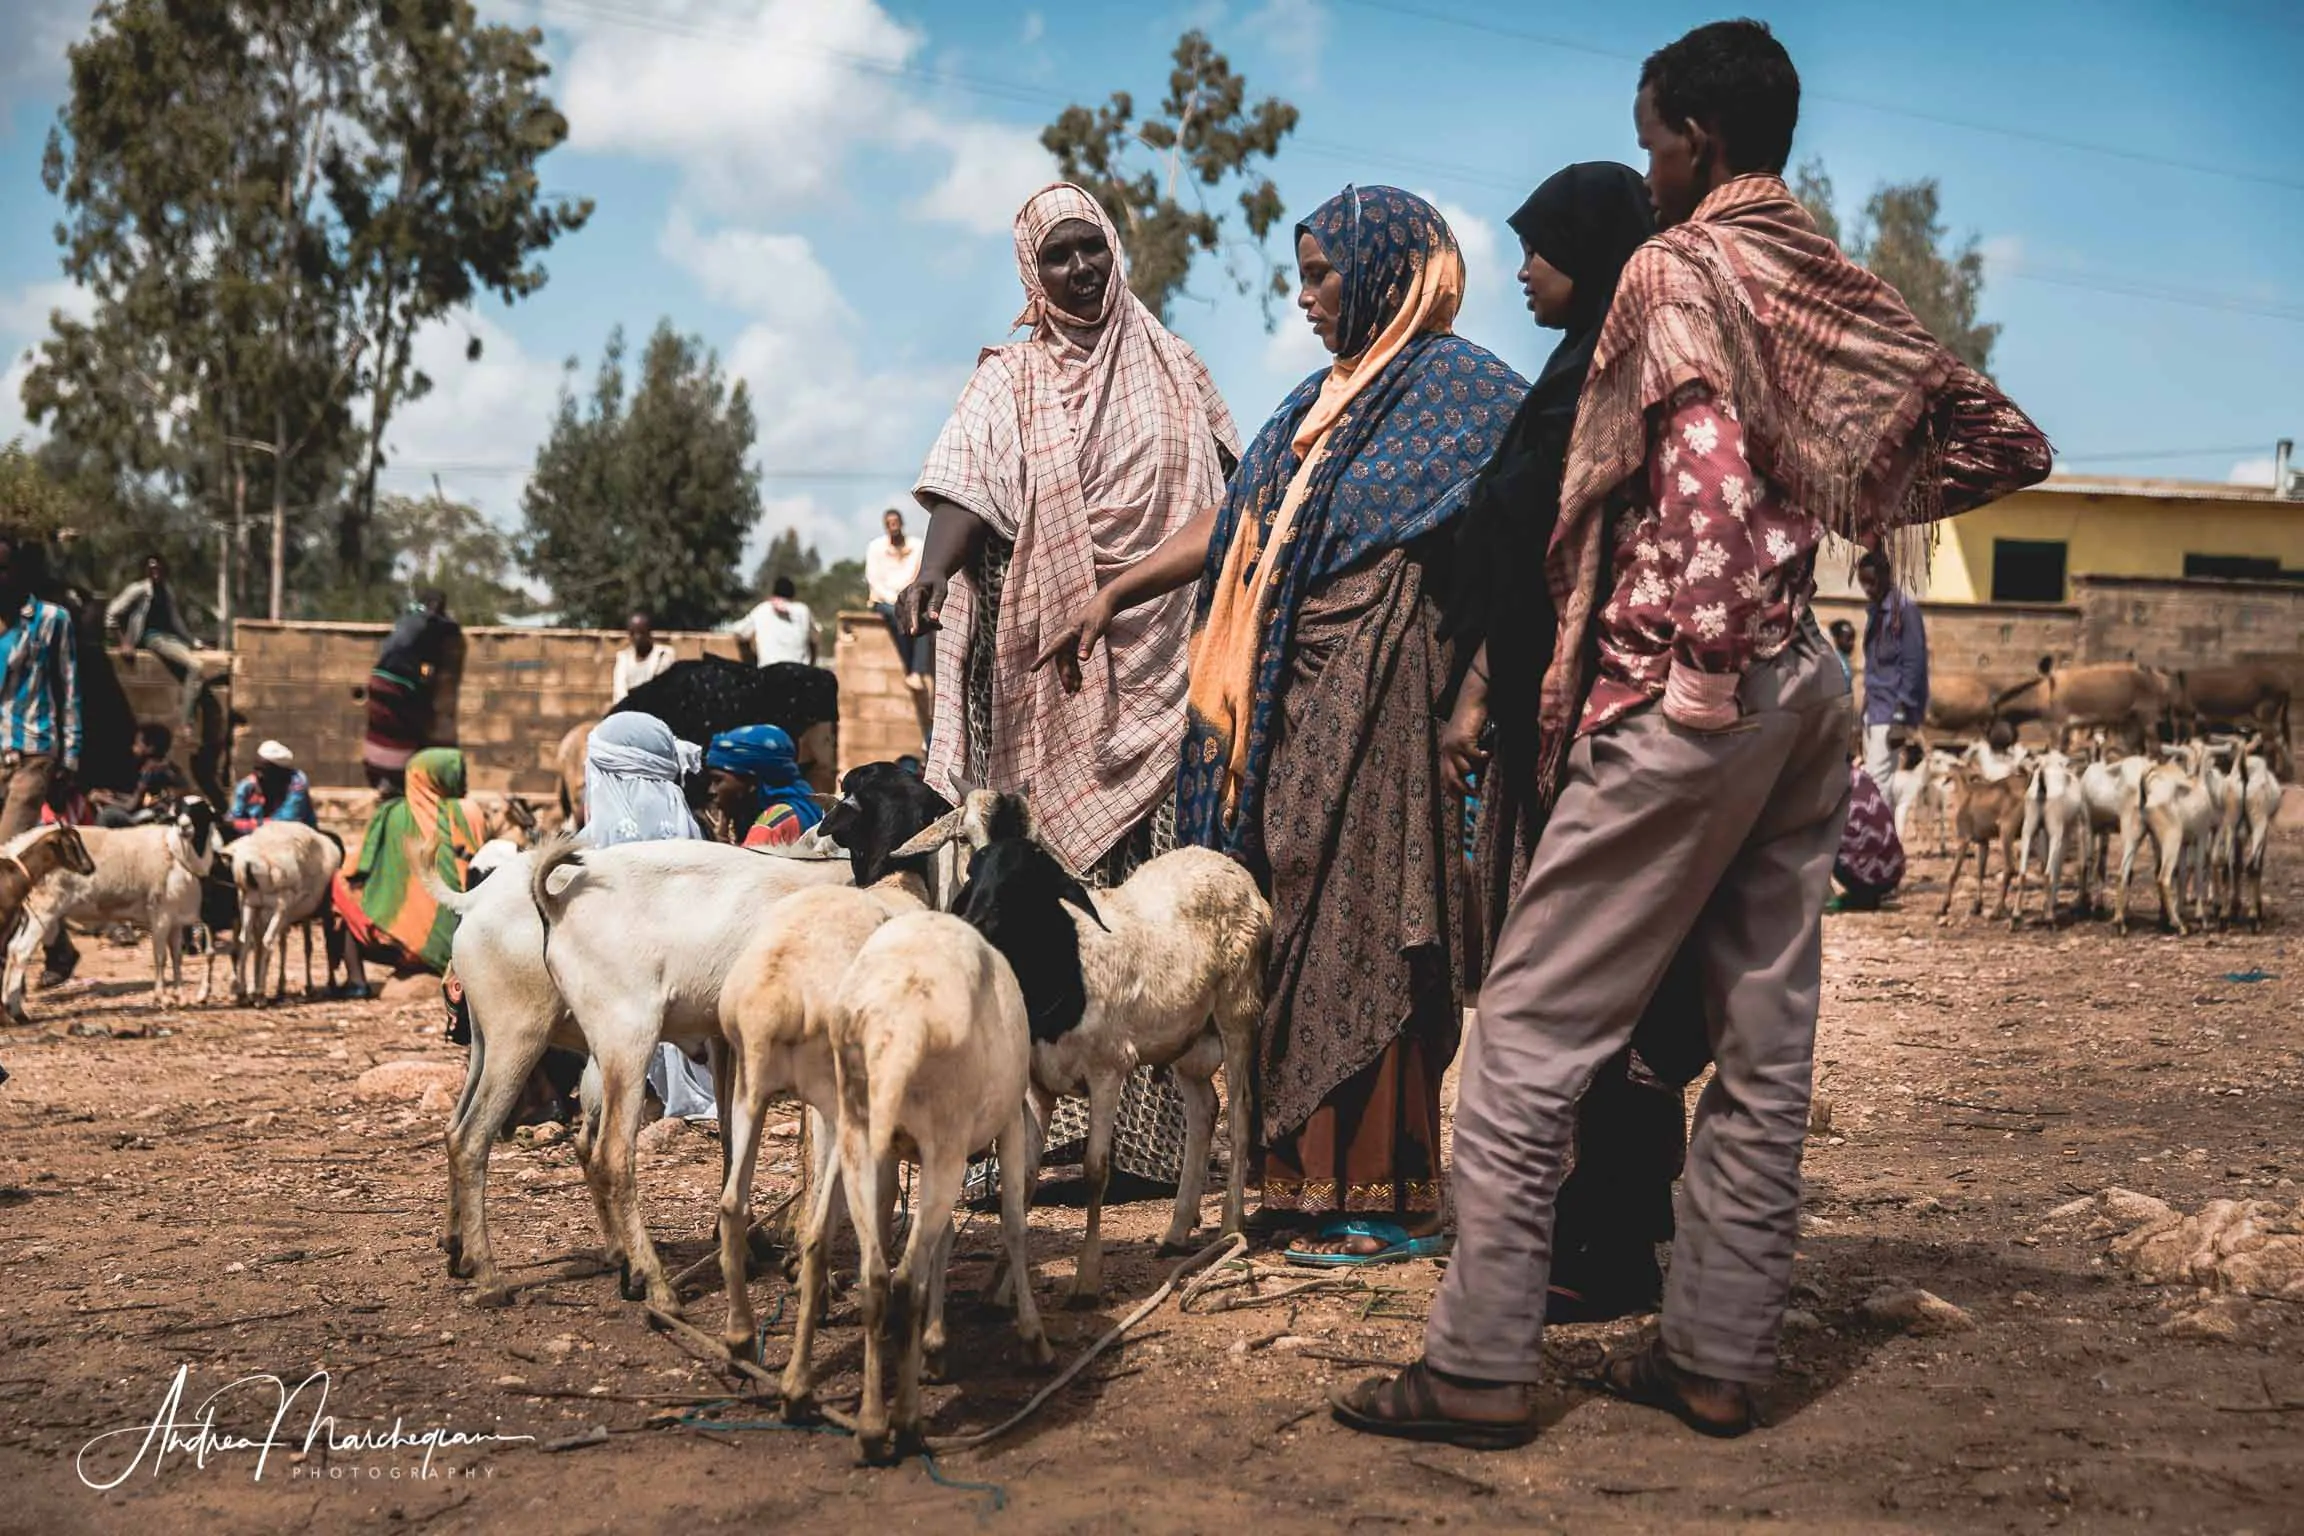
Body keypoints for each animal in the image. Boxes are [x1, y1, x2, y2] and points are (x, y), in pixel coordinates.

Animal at [6, 792, 224, 1022]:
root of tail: (13, 847)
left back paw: (9, 1005)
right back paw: (17, 1011)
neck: (176, 851)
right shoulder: (160, 914)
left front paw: (180, 998)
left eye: (200, 811)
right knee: (20, 952)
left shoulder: (174, 918)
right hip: (44, 908)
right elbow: (160, 957)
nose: (184, 826)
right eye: (179, 810)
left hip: (26, 912)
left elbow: (176, 957)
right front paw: (162, 999)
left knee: (11, 949)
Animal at [226, 824, 343, 1004]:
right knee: (267, 941)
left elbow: (294, 945)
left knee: (245, 941)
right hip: (279, 904)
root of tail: (248, 864)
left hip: (249, 904)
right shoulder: (320, 911)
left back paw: (243, 992)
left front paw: (285, 986)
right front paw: (329, 984)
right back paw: (260, 994)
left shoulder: (296, 914)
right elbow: (323, 944)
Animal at [820, 911, 1055, 1464]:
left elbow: (943, 1241)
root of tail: (894, 1030)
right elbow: (1014, 1226)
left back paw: (870, 1427)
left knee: (877, 1277)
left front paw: (934, 1347)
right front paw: (1033, 1340)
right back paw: (905, 1425)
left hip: (861, 1136)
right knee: (904, 1278)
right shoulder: (1010, 1121)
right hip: (946, 1141)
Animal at [912, 801, 1281, 1308]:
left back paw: (1230, 1227)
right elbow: (1024, 1178)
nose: (976, 923)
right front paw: (1002, 1289)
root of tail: (1222, 862)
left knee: (1241, 1114)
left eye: (1030, 879)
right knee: (1205, 1109)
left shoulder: (1108, 1072)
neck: (1066, 968)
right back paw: (1177, 1231)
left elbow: (1094, 1172)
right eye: (972, 859)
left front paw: (1086, 1279)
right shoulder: (1036, 1086)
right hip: (1185, 1033)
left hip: (1238, 1008)